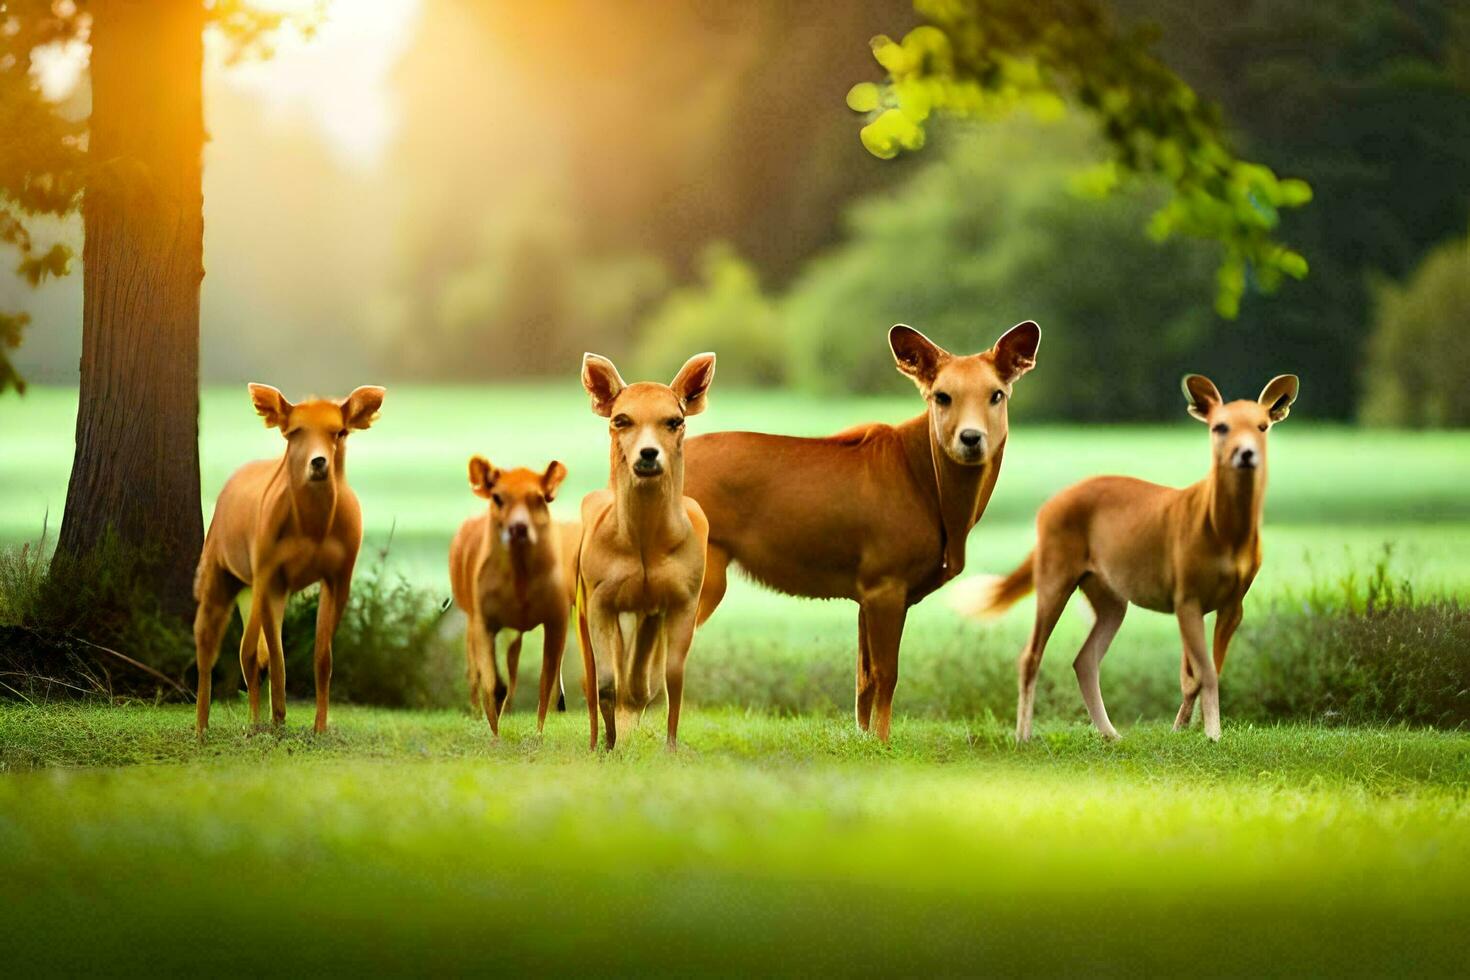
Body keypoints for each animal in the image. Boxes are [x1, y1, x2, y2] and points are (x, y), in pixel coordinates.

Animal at [194, 383, 385, 736]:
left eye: (339, 431)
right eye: (295, 432)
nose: (319, 462)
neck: (313, 529)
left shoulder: (339, 575)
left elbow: (321, 657)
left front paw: (319, 727)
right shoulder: (270, 570)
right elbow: (277, 657)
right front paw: (279, 721)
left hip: (256, 587)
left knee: (248, 651)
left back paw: (254, 721)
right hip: (219, 567)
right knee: (210, 645)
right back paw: (203, 729)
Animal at [448, 457, 572, 736]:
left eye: (539, 498)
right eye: (497, 497)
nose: (518, 528)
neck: (520, 581)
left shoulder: (557, 618)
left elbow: (546, 680)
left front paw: (538, 734)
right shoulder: (484, 620)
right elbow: (493, 682)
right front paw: (494, 734)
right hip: (472, 617)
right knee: (476, 669)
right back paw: (477, 712)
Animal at [574, 352, 715, 751]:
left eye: (675, 420)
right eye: (621, 419)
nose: (648, 455)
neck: (644, 545)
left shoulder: (684, 597)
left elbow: (672, 677)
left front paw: (670, 746)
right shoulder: (600, 597)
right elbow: (606, 682)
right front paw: (608, 747)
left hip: (651, 610)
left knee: (642, 675)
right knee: (591, 677)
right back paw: (598, 738)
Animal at [682, 322, 1040, 742]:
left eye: (996, 394)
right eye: (942, 396)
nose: (971, 438)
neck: (936, 497)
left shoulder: (865, 591)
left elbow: (863, 677)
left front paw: (864, 737)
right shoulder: (886, 580)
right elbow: (887, 674)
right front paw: (883, 742)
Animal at [951, 373, 1300, 743]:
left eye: (1262, 426)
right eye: (1220, 427)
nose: (1245, 453)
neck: (1225, 533)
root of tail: (1045, 510)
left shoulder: (1233, 602)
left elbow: (1203, 670)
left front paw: (1184, 728)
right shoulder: (1185, 593)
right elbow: (1203, 671)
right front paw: (1211, 733)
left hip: (1108, 594)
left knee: (1084, 659)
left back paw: (1111, 734)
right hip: (1055, 572)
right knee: (1030, 655)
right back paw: (1024, 736)